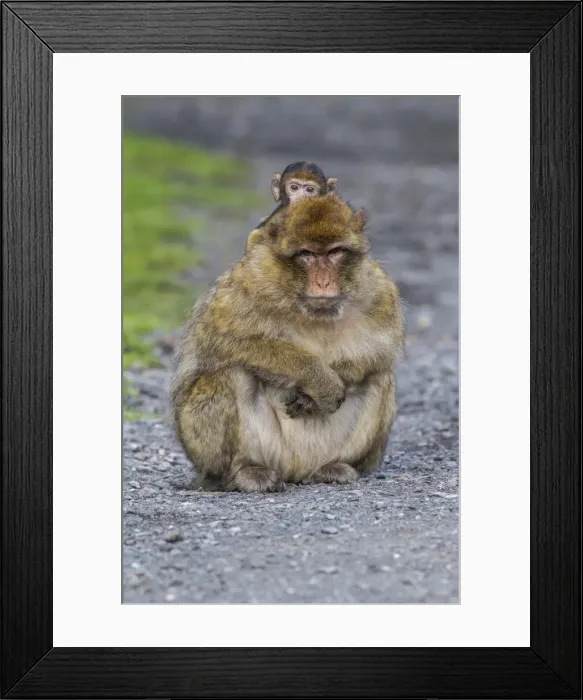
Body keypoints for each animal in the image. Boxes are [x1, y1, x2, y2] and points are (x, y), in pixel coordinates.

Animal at [171, 193, 404, 493]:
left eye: (335, 252)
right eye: (307, 254)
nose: (324, 282)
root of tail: (296, 471)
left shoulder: (379, 290)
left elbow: (381, 349)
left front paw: (331, 381)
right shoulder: (250, 281)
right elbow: (225, 343)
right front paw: (320, 380)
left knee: (380, 376)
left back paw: (335, 467)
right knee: (228, 373)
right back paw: (243, 472)